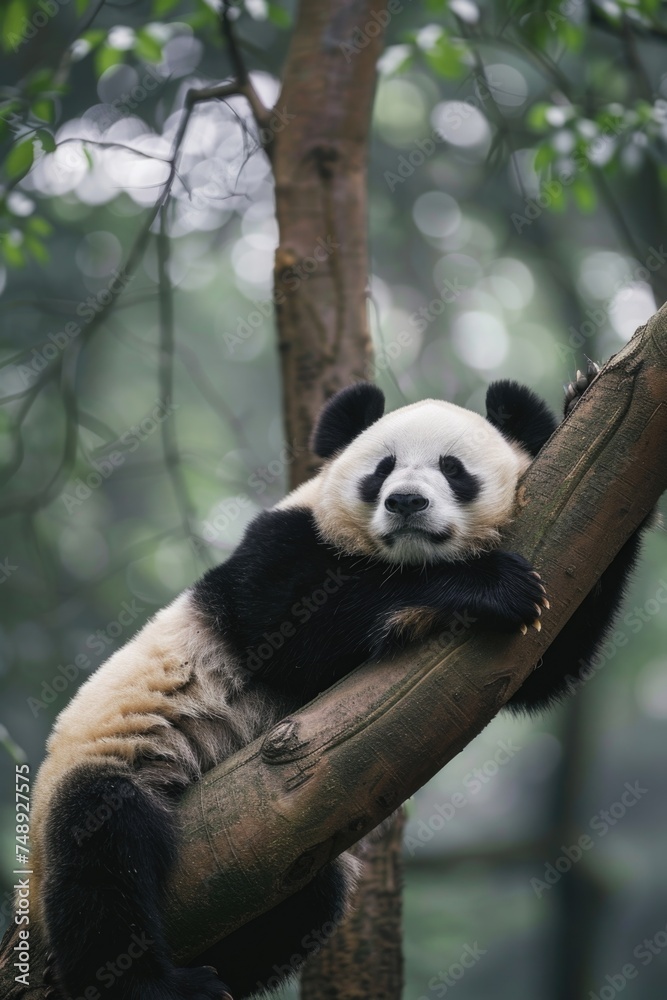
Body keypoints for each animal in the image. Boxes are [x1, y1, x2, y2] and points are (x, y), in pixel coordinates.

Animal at [31, 366, 645, 1000]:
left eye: (453, 468)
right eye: (382, 468)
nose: (406, 502)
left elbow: (546, 661)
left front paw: (585, 396)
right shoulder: (282, 538)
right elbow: (287, 620)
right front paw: (485, 584)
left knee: (305, 900)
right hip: (105, 764)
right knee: (103, 846)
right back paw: (153, 982)